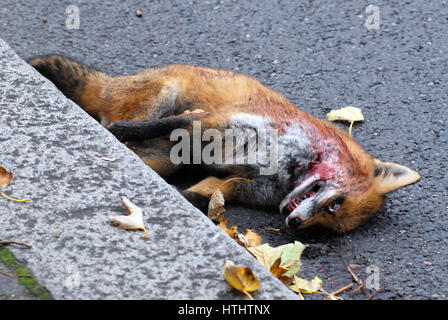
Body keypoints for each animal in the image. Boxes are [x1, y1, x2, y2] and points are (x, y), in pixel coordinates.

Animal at [28, 55, 420, 232]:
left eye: (326, 223)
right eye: (335, 204)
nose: (295, 224)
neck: (285, 171)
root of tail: (113, 82)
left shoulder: (241, 183)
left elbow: (213, 192)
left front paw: (188, 202)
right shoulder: (216, 122)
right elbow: (170, 124)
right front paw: (127, 130)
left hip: (168, 159)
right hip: (164, 99)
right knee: (115, 124)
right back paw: (115, 130)